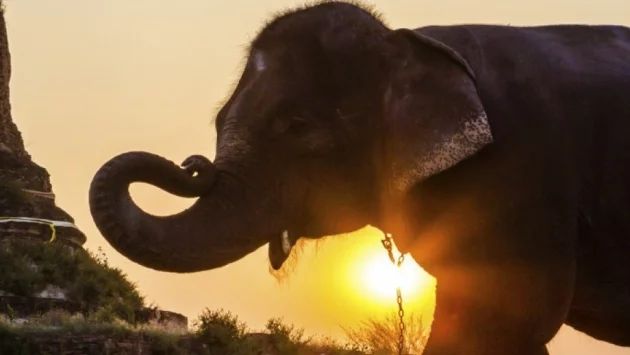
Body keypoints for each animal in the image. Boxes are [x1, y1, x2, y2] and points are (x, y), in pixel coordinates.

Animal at [89, 1, 630, 354]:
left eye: (295, 126)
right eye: (219, 121)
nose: (191, 165)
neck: (409, 42)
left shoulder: (520, 174)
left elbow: (505, 320)